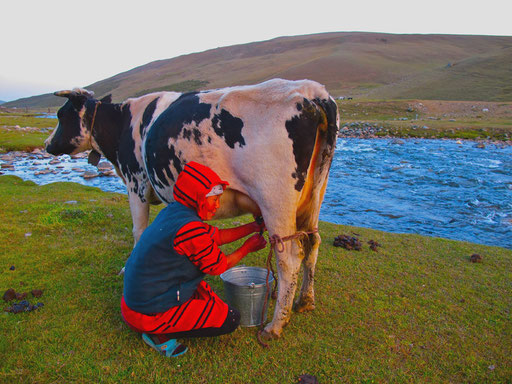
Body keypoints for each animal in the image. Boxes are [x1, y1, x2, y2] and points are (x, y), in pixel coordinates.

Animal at [45, 79, 340, 340]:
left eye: (61, 114)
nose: (48, 144)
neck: (121, 127)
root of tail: (312, 92)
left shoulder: (136, 182)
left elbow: (138, 230)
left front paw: (126, 269)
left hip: (275, 198)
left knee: (289, 256)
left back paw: (275, 326)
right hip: (315, 194)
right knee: (313, 242)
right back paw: (304, 301)